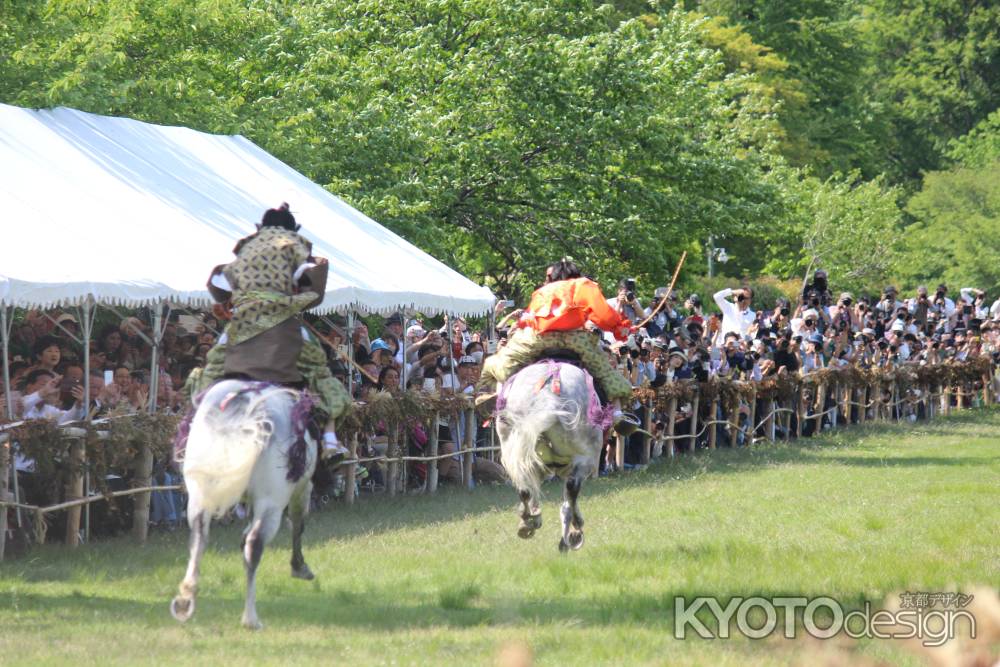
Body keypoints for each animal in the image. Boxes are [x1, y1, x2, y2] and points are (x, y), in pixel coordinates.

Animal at [168, 380, 316, 632]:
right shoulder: (302, 487)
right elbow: (298, 523)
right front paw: (299, 566)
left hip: (200, 494)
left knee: (199, 536)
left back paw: (186, 600)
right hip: (271, 502)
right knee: (255, 543)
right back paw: (251, 618)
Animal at [496, 360, 612, 552]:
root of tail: (548, 399)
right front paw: (575, 530)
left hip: (513, 449)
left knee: (525, 488)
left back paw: (529, 523)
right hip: (584, 458)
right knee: (570, 493)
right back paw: (566, 537)